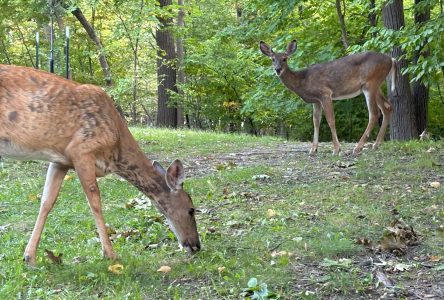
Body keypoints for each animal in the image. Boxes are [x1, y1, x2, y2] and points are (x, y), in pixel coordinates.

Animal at [0, 63, 199, 264]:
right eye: (191, 210)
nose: (196, 245)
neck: (115, 150)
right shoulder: (81, 151)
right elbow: (95, 202)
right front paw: (110, 253)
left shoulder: (60, 161)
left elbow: (47, 201)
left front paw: (29, 257)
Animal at [258, 39, 398, 155]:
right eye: (272, 59)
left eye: (284, 59)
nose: (277, 69)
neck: (303, 81)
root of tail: (391, 60)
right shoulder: (316, 101)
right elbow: (316, 122)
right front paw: (313, 149)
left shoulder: (325, 94)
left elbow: (331, 120)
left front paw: (336, 149)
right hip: (376, 86)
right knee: (387, 107)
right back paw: (376, 145)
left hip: (371, 83)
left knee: (374, 114)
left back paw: (358, 148)